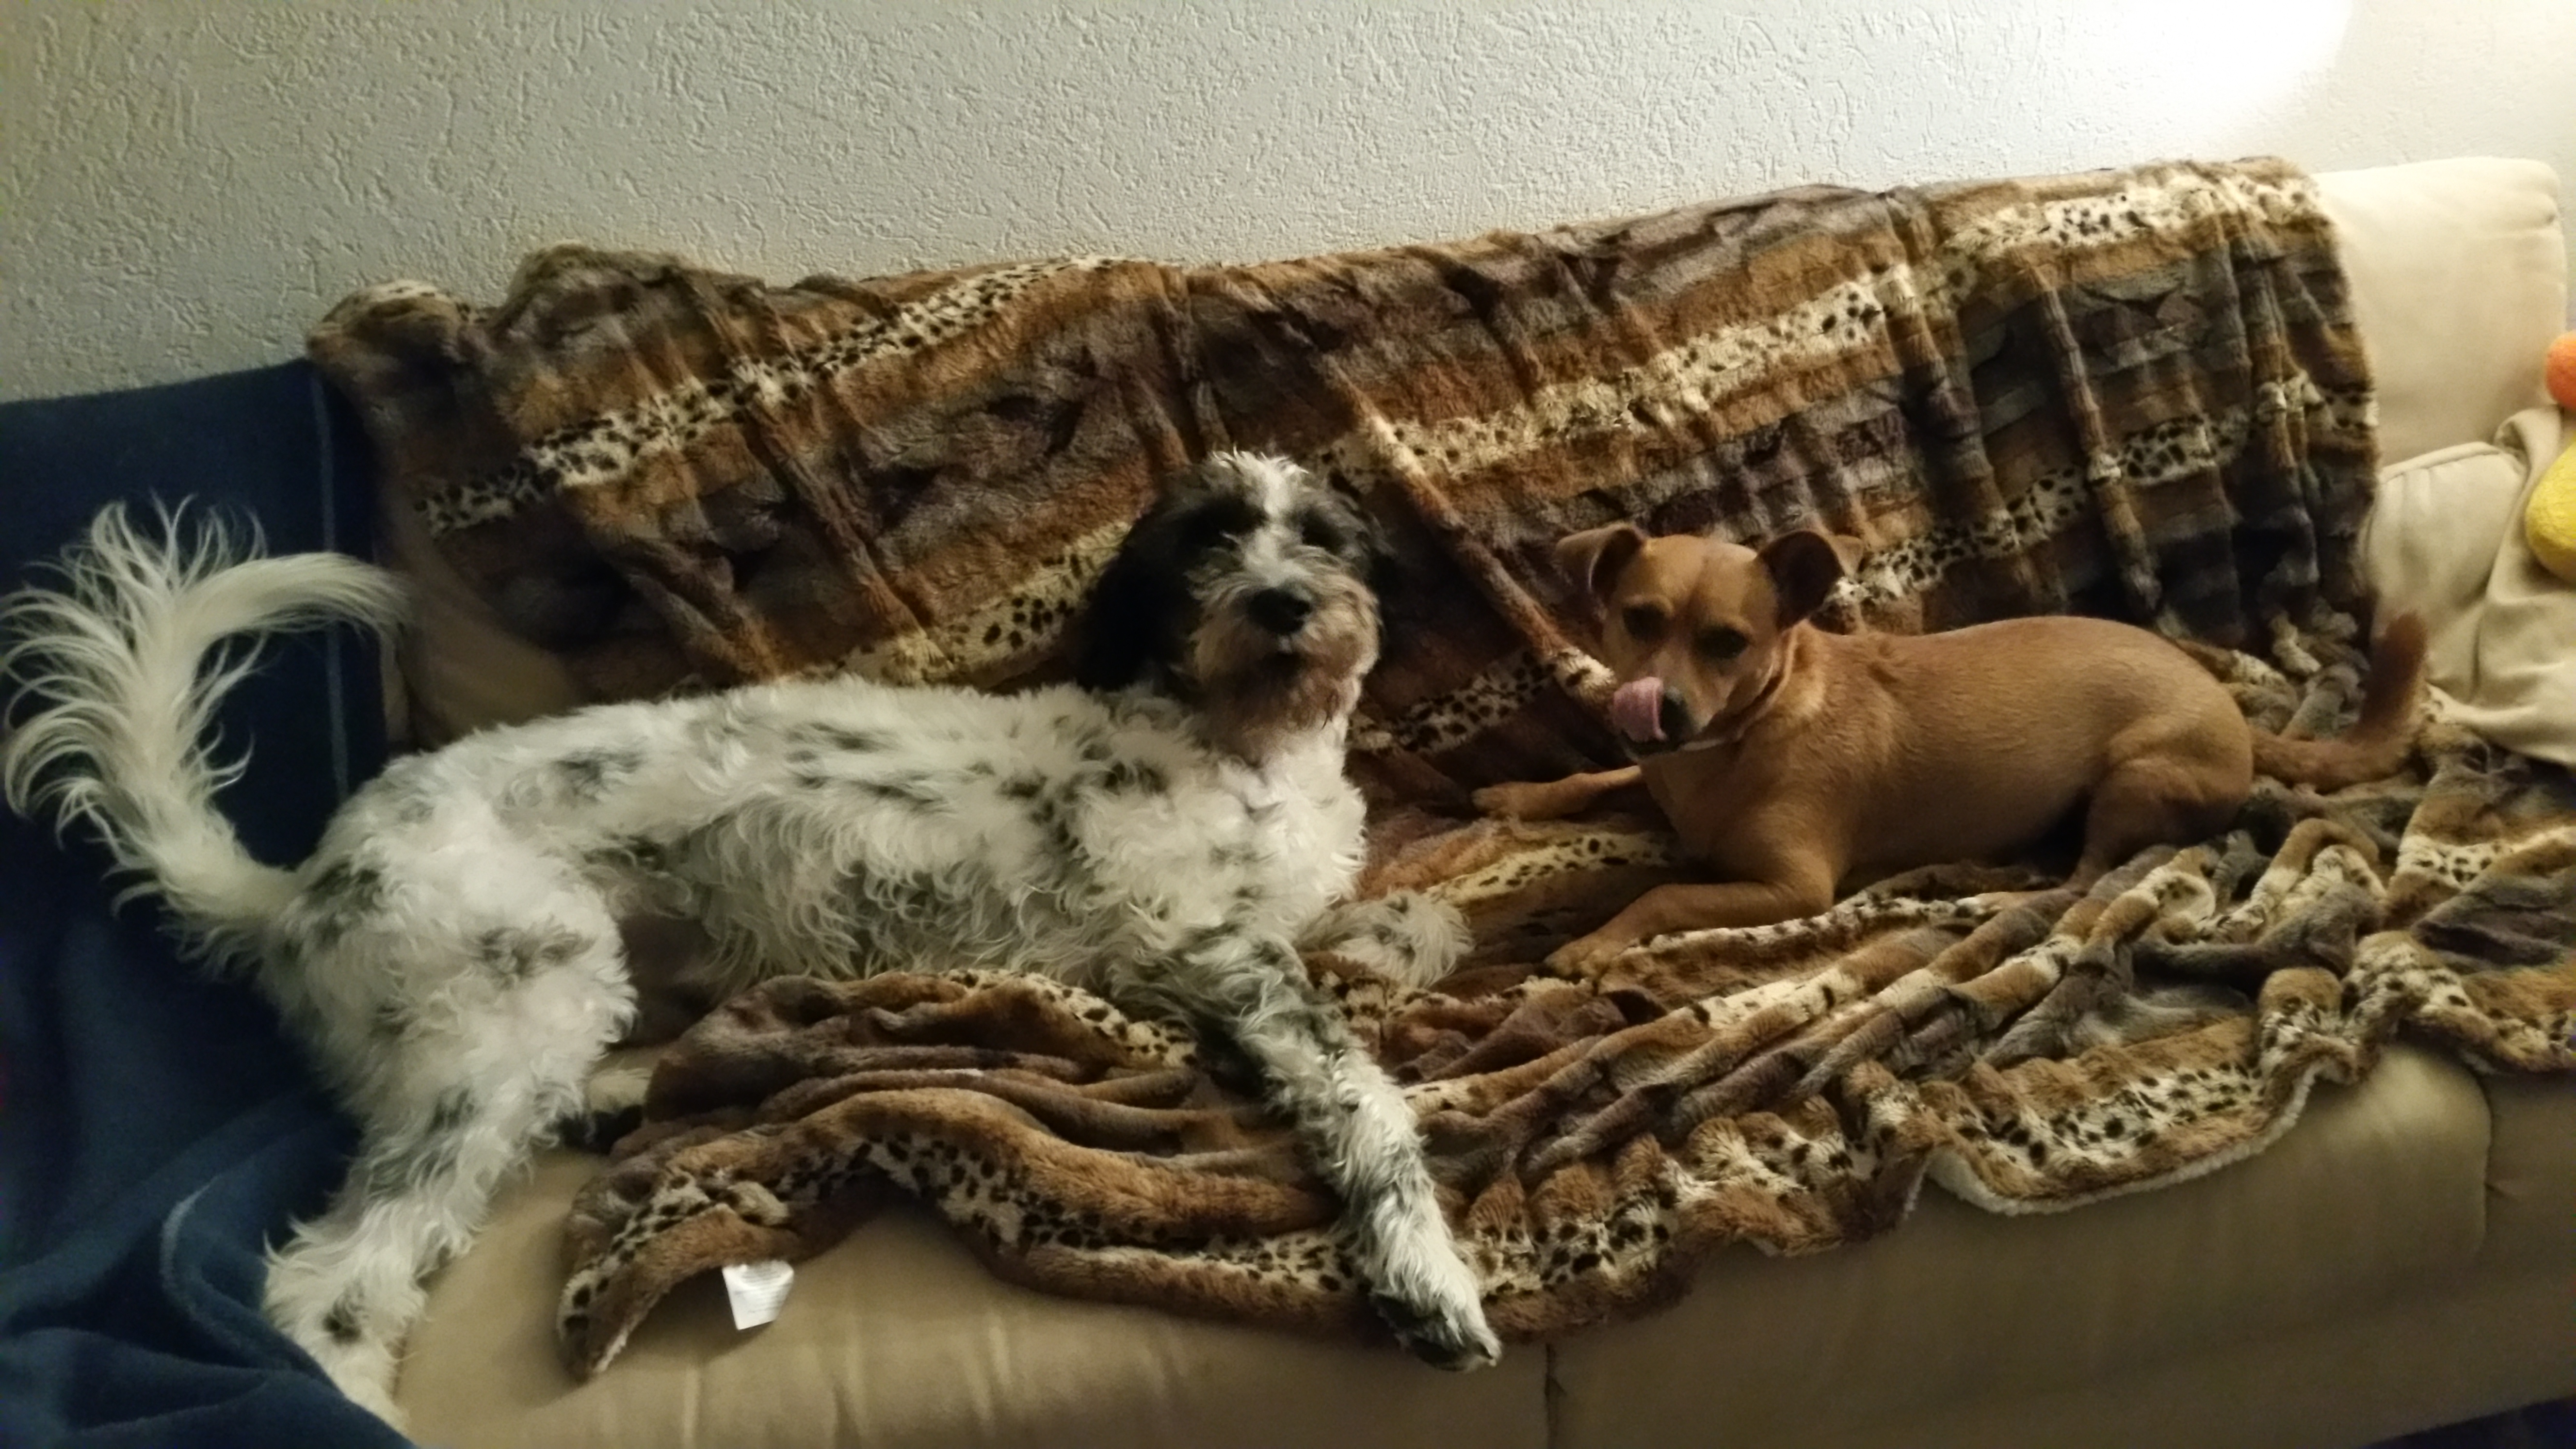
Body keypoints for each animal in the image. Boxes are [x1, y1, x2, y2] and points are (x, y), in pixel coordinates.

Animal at [0, 453, 1500, 1426]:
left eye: (1325, 538)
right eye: (1204, 542)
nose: (1282, 604)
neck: (1238, 741)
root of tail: (298, 880)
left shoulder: (1276, 925)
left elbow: (1415, 912)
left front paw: (1408, 935)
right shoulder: (1202, 954)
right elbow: (1367, 1098)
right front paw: (1425, 1273)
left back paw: (620, 1101)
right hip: (516, 996)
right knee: (324, 1291)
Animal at [1476, 523, 2427, 971]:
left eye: (1728, 643)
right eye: (1638, 621)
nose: (1662, 710)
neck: (1736, 739)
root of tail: (2231, 706)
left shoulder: (1791, 888)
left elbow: (1666, 893)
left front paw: (1595, 940)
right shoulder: (1651, 769)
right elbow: (1599, 776)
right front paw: (1519, 797)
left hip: (2132, 779)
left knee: (2086, 879)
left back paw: (1995, 895)